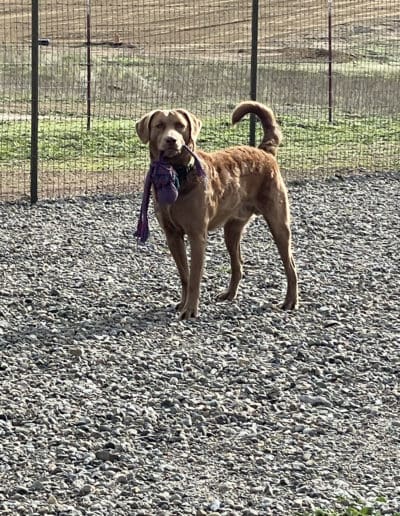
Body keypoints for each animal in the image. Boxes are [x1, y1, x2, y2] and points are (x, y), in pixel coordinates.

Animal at [136, 101, 298, 318]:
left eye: (180, 126)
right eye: (159, 125)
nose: (172, 140)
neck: (176, 174)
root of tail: (264, 151)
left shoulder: (197, 235)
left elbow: (195, 277)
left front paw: (190, 310)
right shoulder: (172, 236)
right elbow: (185, 275)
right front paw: (183, 303)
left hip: (278, 223)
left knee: (290, 265)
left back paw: (290, 301)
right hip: (232, 229)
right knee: (238, 264)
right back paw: (229, 294)